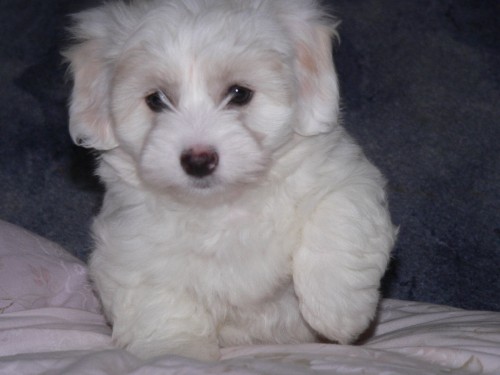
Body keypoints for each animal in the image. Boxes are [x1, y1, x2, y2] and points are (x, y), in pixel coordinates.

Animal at [64, 0, 396, 362]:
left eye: (239, 94)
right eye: (156, 100)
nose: (198, 160)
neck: (225, 204)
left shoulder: (346, 177)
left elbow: (338, 217)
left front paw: (338, 312)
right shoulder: (131, 247)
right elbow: (159, 298)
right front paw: (175, 350)